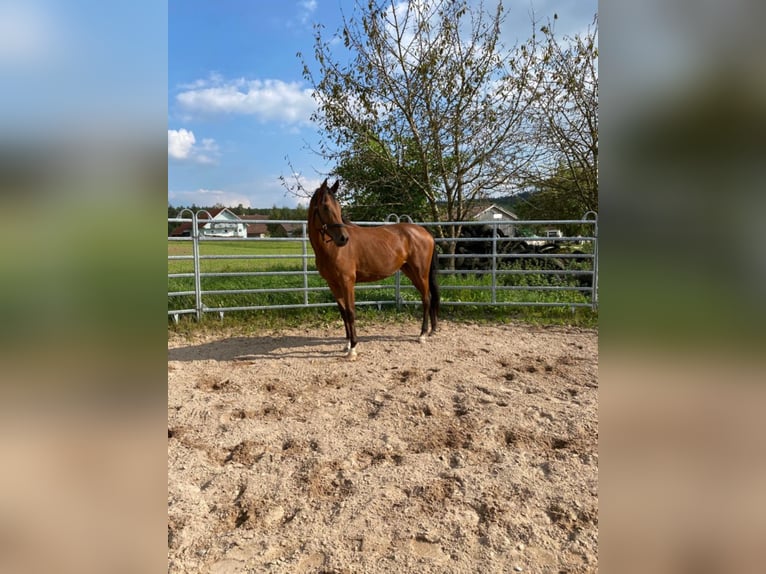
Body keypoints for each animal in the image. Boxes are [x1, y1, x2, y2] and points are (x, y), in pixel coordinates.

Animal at [306, 180, 438, 360]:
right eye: (325, 207)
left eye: (339, 208)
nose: (343, 238)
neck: (332, 249)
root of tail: (425, 232)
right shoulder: (333, 284)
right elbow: (343, 313)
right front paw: (347, 345)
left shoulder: (347, 282)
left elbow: (350, 312)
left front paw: (353, 349)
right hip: (411, 272)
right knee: (428, 298)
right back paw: (430, 331)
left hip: (421, 273)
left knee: (426, 299)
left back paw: (422, 335)